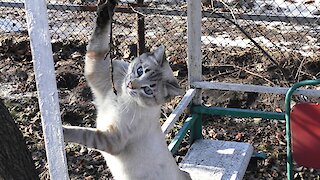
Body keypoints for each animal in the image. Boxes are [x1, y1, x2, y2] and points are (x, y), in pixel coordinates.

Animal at [63, 0, 191, 180]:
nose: (131, 85)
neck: (123, 96)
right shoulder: (97, 70)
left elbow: (81, 133)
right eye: (140, 71)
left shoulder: (111, 139)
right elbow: (98, 41)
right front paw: (107, 8)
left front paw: (59, 131)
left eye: (148, 90)